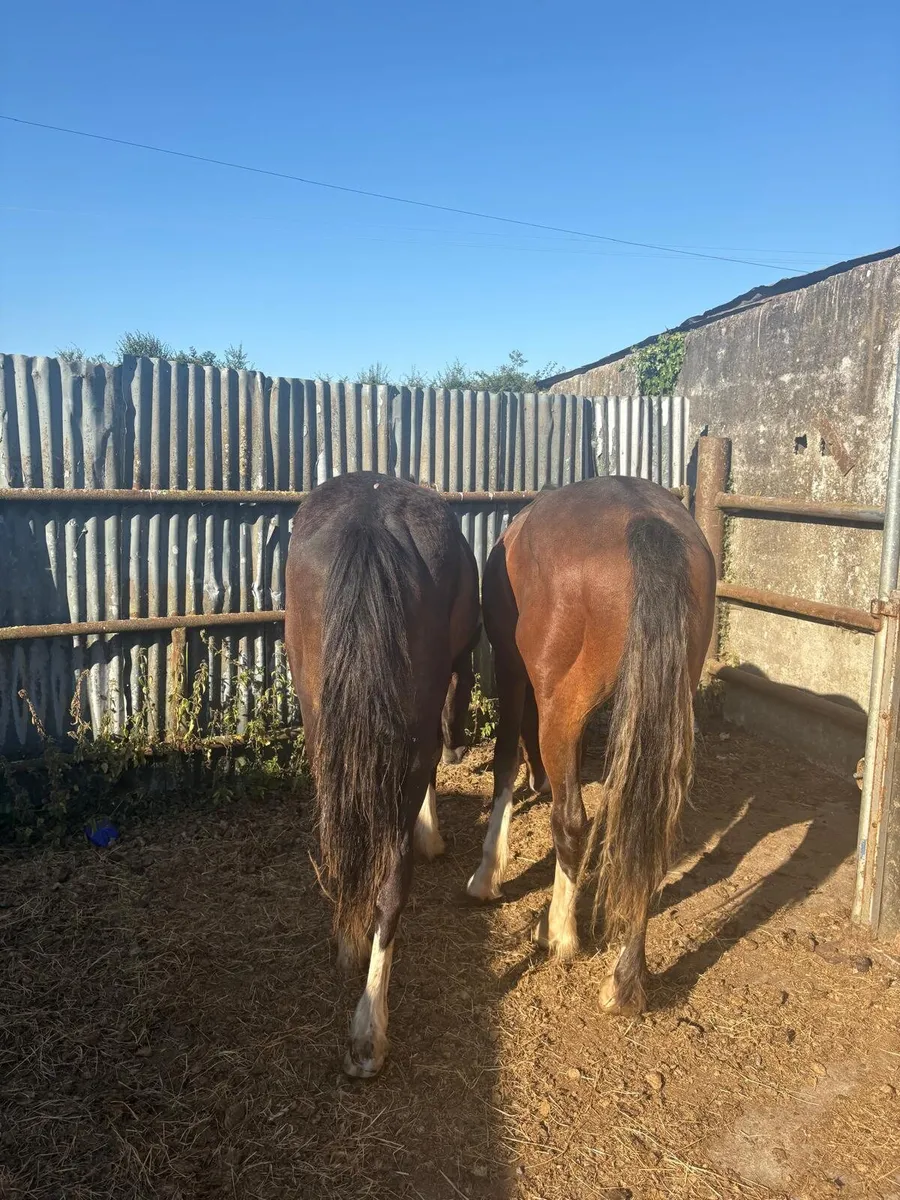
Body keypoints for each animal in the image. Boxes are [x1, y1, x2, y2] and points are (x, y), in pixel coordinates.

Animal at [284, 471, 481, 1077]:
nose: (462, 750)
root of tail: (369, 519)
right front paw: (432, 836)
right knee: (391, 883)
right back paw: (369, 1027)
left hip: (320, 724)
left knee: (341, 838)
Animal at [466, 476, 716, 1015]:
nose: (540, 781)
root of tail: (645, 522)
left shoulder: (513, 674)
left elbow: (504, 765)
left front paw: (487, 874)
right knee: (646, 833)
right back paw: (623, 981)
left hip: (562, 708)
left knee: (572, 821)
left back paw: (559, 933)